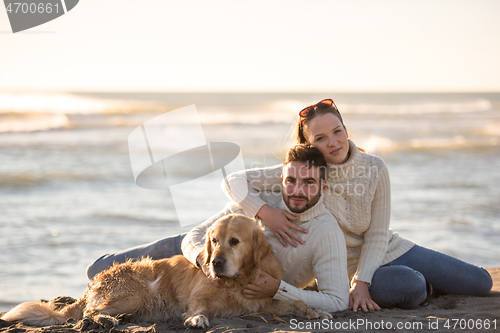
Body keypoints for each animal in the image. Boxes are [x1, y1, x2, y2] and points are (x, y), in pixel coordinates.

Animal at [0, 214, 332, 328]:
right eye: (214, 241)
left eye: (234, 242)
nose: (215, 262)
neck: (238, 281)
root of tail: (92, 285)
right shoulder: (200, 295)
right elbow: (199, 307)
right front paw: (196, 319)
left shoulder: (260, 302)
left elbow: (294, 302)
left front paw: (314, 311)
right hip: (138, 293)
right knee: (89, 313)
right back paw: (106, 319)